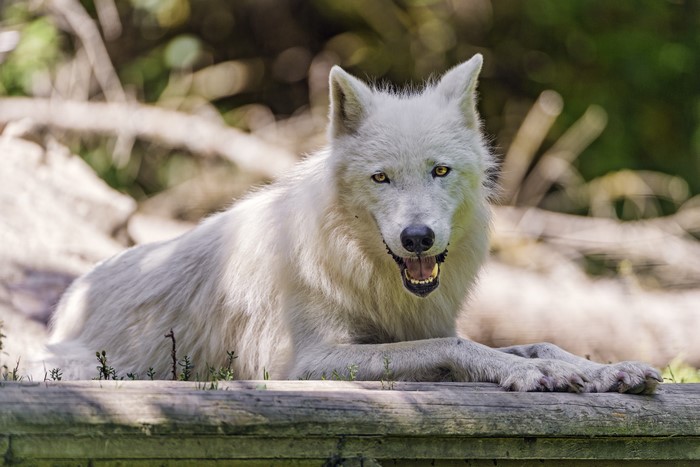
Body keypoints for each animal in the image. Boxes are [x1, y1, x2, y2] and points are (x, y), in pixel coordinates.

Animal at [44, 54, 660, 392]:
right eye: (381, 178)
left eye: (440, 170)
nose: (417, 238)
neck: (364, 271)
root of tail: (68, 298)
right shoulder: (306, 362)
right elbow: (454, 350)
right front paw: (527, 375)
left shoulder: (419, 326)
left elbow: (539, 343)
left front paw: (606, 370)